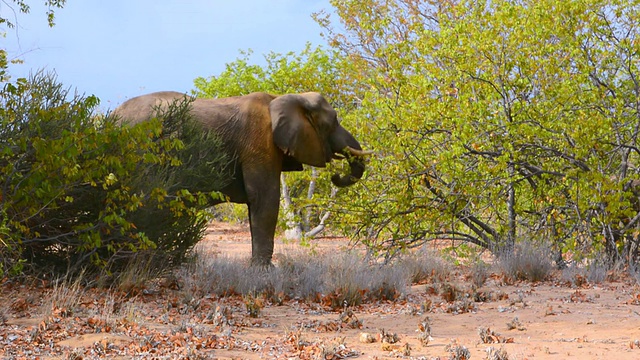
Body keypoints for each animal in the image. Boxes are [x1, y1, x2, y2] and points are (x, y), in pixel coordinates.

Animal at [112, 90, 368, 264]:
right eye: (333, 122)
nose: (336, 175)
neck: (285, 99)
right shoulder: (259, 143)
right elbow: (265, 199)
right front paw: (264, 271)